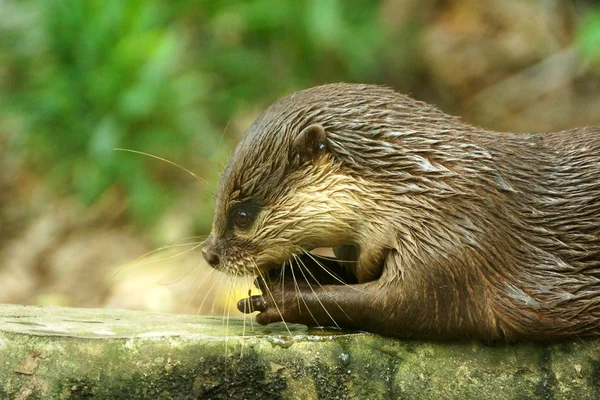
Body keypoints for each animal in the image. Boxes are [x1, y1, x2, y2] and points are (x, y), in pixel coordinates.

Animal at [202, 83, 600, 340]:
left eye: (242, 215)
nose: (209, 254)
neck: (422, 186)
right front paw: (290, 271)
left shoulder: (456, 241)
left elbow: (399, 305)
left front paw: (279, 298)